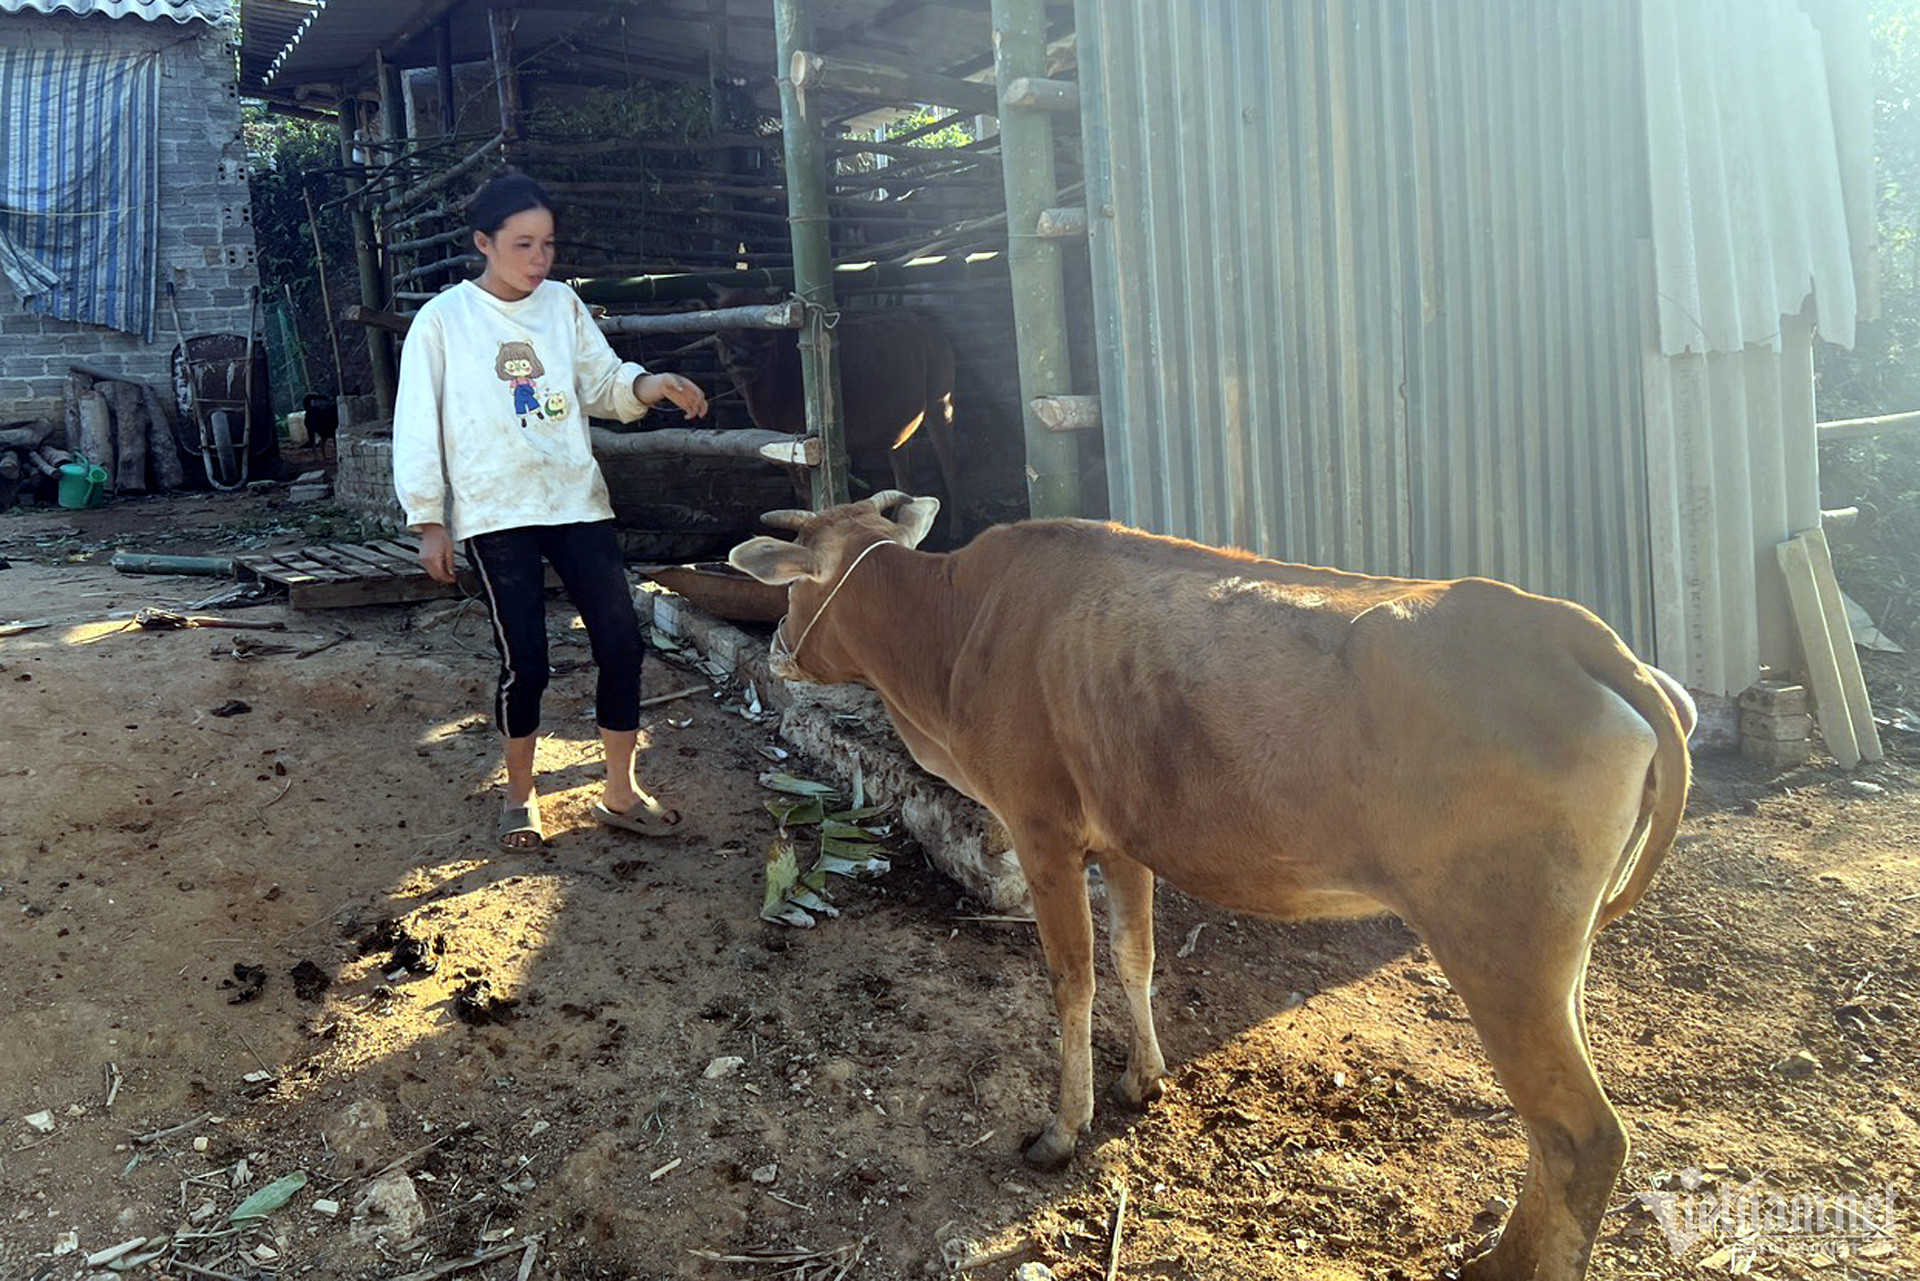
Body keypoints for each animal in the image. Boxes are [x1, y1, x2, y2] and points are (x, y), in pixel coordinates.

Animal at [710, 286, 960, 537]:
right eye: (722, 334)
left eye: (761, 334)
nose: (740, 356)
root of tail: (930, 329)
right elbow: (801, 495)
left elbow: (810, 498)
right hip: (899, 426)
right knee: (905, 479)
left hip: (941, 404)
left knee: (949, 465)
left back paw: (955, 530)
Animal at [729, 495, 1697, 1281]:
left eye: (791, 584)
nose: (773, 649)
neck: (961, 625)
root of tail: (1578, 633)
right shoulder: (1123, 838)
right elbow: (1135, 954)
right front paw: (1144, 1080)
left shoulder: (1043, 830)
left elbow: (1072, 977)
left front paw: (1063, 1128)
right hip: (1557, 957)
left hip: (1499, 947)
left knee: (1581, 1136)